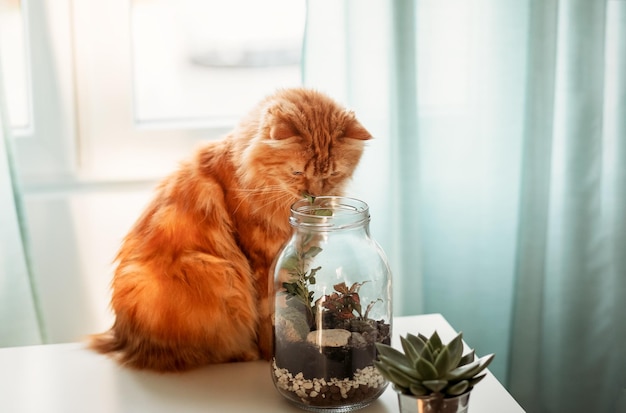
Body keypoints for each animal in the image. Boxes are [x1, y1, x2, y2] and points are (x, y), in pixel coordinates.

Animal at [88, 87, 370, 370]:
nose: (313, 195)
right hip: (213, 271)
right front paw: (271, 352)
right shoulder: (262, 259)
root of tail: (120, 337)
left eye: (332, 174)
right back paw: (245, 353)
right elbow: (268, 314)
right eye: (297, 173)